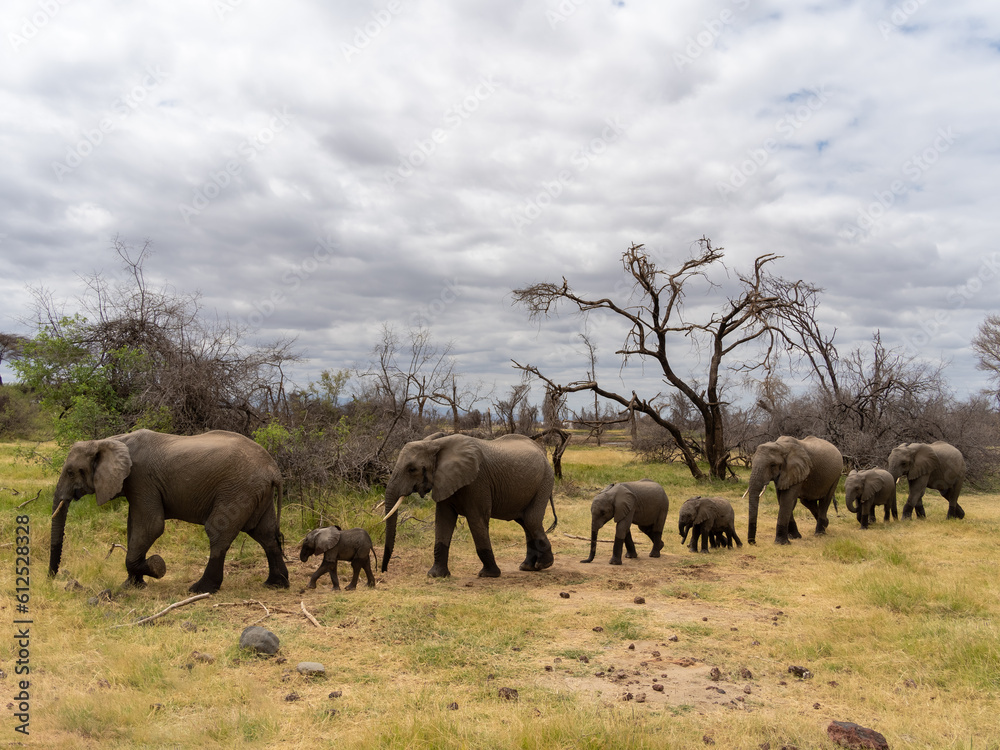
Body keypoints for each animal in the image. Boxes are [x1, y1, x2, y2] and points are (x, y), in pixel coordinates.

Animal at [49, 429, 289, 594]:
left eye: (71, 472)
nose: (50, 578)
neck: (110, 440)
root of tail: (274, 470)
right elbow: (134, 527)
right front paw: (132, 585)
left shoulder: (141, 479)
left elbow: (151, 526)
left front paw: (156, 567)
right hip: (257, 493)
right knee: (266, 535)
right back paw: (276, 584)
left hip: (238, 490)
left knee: (218, 531)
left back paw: (200, 589)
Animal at [381, 433, 556, 578]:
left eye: (412, 469)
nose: (383, 571)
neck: (436, 444)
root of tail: (541, 451)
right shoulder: (445, 481)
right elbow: (443, 521)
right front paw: (436, 575)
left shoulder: (477, 482)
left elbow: (476, 520)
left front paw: (488, 575)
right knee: (525, 523)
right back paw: (527, 567)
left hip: (545, 481)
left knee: (531, 520)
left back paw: (544, 564)